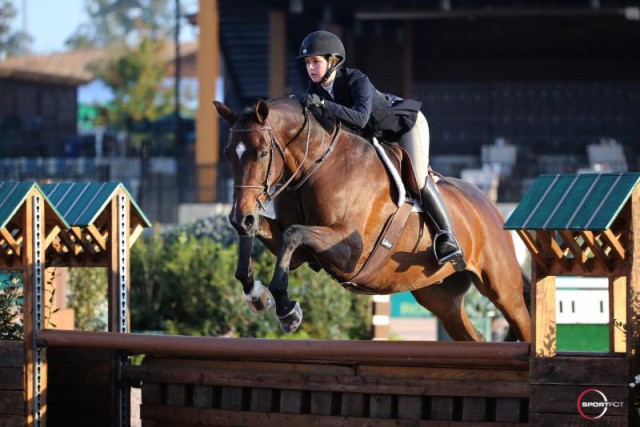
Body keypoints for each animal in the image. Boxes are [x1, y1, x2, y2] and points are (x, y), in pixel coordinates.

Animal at [215, 98, 528, 344]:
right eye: (228, 154)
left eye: (263, 153)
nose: (239, 216)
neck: (315, 165)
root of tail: (491, 207)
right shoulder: (303, 254)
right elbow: (273, 236)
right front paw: (255, 293)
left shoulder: (349, 250)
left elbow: (293, 233)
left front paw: (286, 309)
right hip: (441, 298)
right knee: (474, 336)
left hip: (501, 287)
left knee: (522, 321)